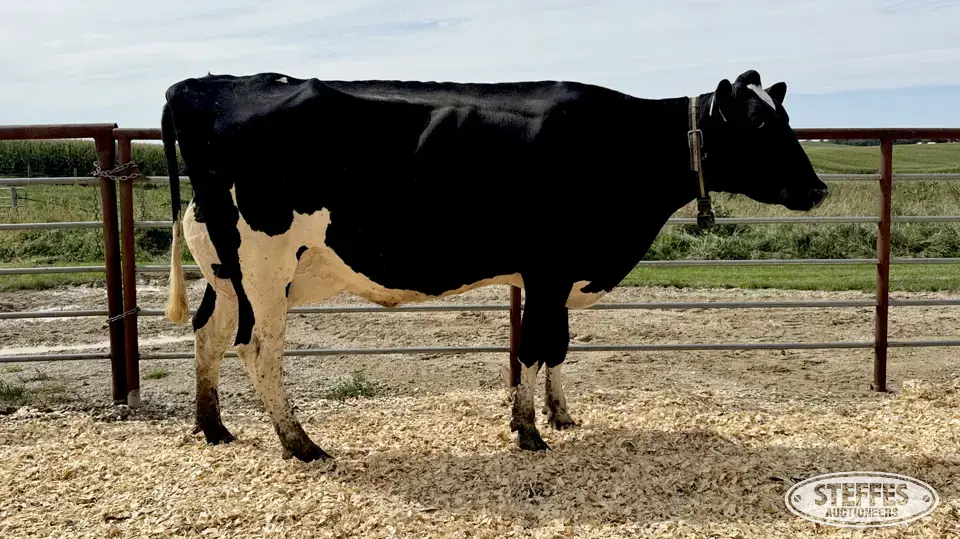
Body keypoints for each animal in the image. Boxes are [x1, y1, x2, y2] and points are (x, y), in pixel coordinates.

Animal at [159, 69, 828, 462]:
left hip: (227, 270)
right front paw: (528, 431)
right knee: (257, 347)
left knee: (208, 333)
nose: (818, 189)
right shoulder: (550, 269)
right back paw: (301, 444)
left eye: (785, 118)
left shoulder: (559, 274)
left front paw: (561, 415)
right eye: (760, 124)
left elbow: (558, 346)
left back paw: (213, 427)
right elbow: (533, 346)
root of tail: (198, 86)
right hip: (264, 263)